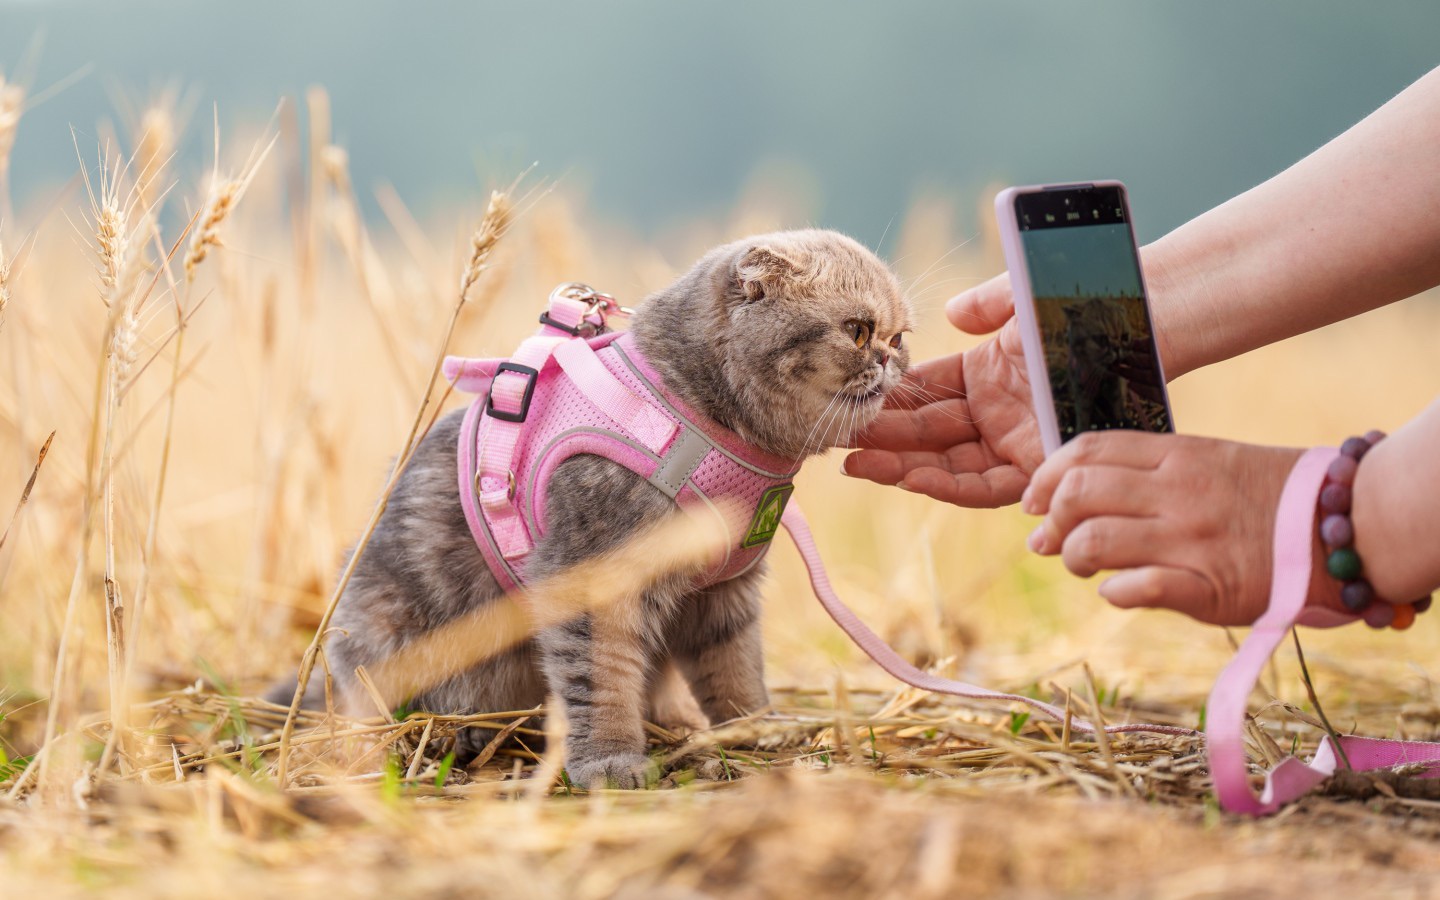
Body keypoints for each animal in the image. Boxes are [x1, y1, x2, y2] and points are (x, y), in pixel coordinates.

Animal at [286, 230, 904, 783]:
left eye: (899, 337)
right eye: (858, 331)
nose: (890, 360)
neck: (696, 411)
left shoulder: (724, 593)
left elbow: (736, 672)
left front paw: (755, 731)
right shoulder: (596, 580)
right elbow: (601, 679)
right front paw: (610, 761)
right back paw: (459, 735)